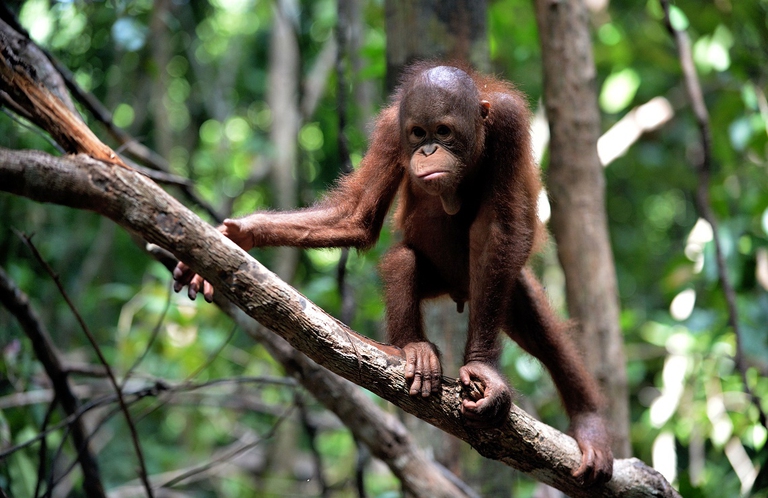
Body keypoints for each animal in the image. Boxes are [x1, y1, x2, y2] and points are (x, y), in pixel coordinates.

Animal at [173, 62, 613, 485]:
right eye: (418, 133)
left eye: (443, 131)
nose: (428, 149)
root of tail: (457, 293)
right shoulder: (390, 131)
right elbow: (357, 217)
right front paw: (239, 234)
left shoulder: (509, 125)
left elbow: (500, 230)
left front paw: (484, 370)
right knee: (403, 258)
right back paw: (413, 349)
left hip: (490, 291)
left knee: (540, 329)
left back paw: (590, 426)